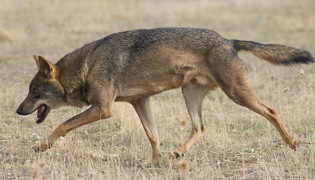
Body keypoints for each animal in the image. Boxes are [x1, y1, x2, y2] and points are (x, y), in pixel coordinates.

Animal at [16, 27, 314, 166]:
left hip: (238, 94)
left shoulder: (103, 109)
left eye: (34, 92)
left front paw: (42, 146)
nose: (17, 111)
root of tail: (230, 41)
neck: (86, 66)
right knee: (200, 127)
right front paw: (153, 163)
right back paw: (180, 151)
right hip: (190, 94)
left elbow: (62, 125)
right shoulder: (140, 101)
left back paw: (292, 143)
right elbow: (153, 136)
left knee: (272, 111)